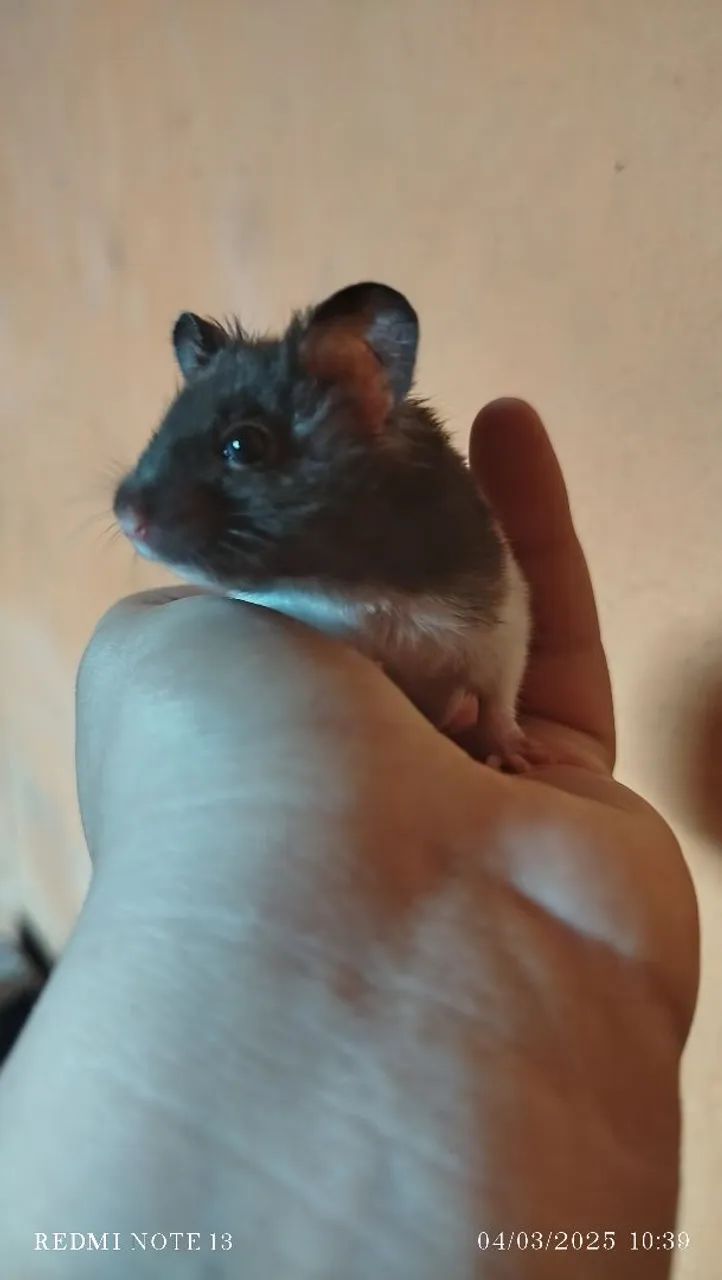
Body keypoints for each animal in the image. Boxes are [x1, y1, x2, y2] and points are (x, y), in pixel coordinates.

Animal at [113, 282, 536, 769]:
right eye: (160, 430)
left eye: (243, 445)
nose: (126, 517)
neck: (353, 585)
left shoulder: (503, 623)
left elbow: (498, 699)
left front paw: (517, 758)